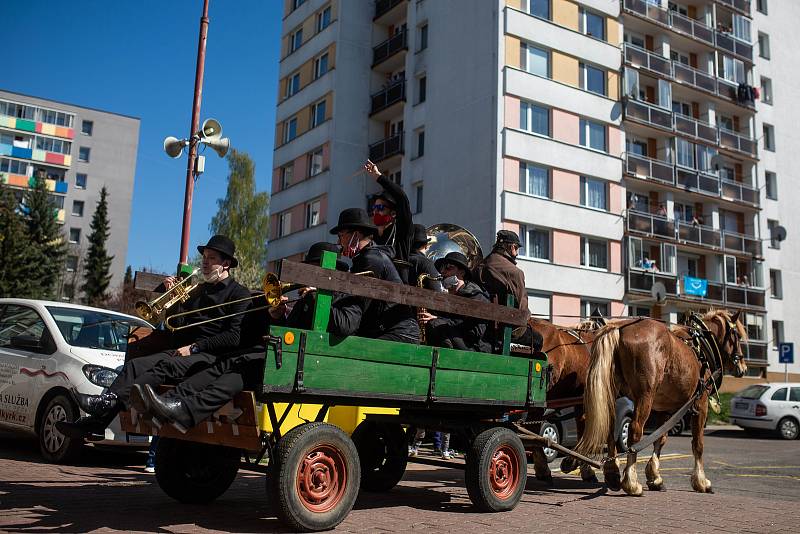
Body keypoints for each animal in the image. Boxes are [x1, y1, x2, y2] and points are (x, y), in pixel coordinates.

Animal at [572, 310, 748, 498]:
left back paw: (612, 473)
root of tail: (619, 327)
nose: (743, 367)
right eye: (737, 335)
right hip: (645, 396)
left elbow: (660, 438)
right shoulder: (700, 403)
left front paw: (655, 477)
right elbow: (698, 444)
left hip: (613, 391)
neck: (701, 349)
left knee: (611, 427)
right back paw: (631, 482)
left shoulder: (667, 408)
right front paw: (701, 482)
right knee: (635, 431)